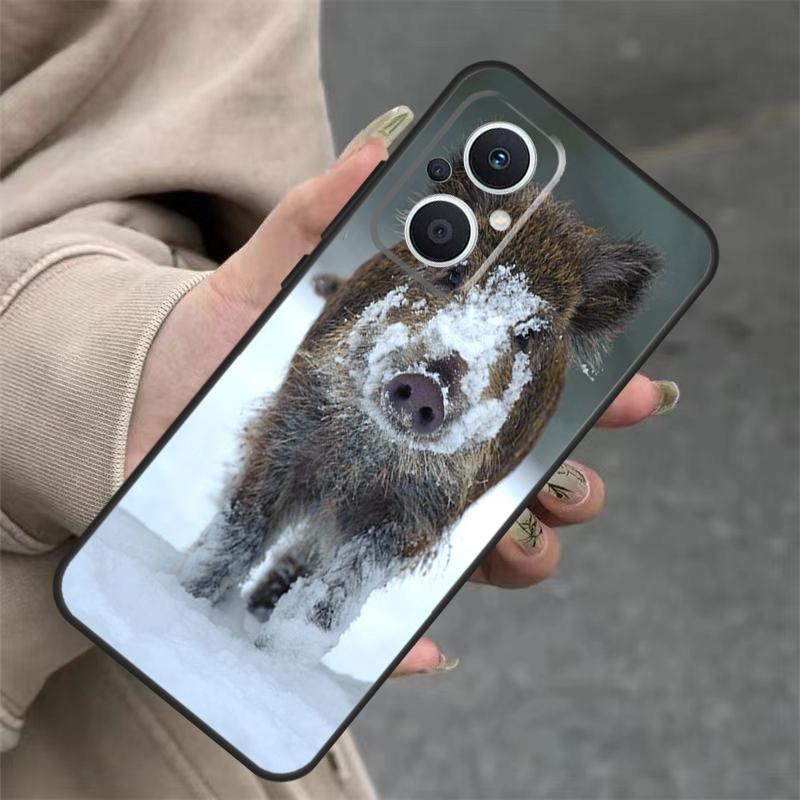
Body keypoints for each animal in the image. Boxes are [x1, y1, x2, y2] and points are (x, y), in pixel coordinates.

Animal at [179, 159, 662, 640]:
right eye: (454, 274)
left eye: (529, 334)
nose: (428, 385)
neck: (371, 456)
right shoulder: (292, 428)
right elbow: (241, 528)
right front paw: (187, 597)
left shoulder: (419, 516)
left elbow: (339, 592)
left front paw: (286, 650)